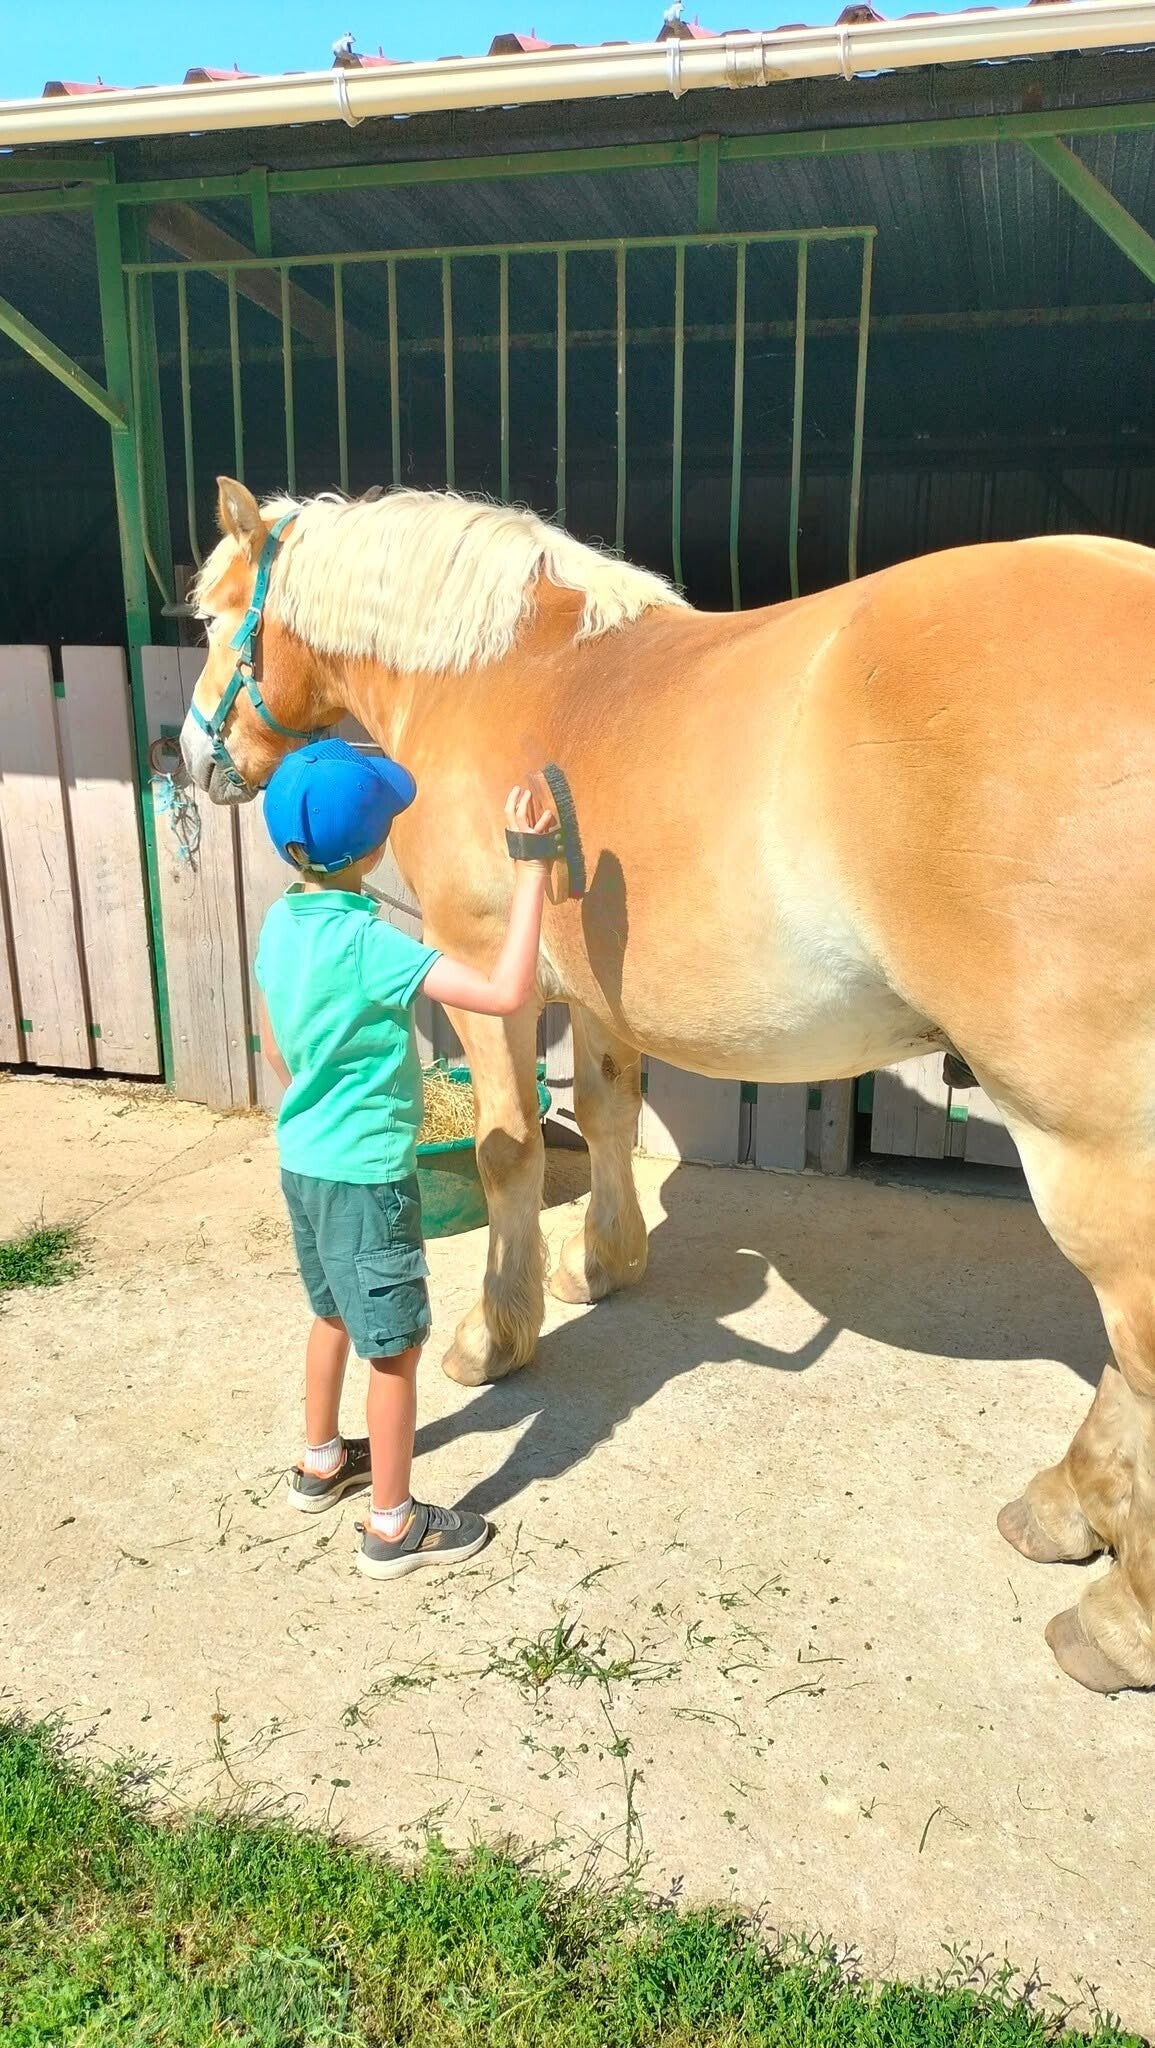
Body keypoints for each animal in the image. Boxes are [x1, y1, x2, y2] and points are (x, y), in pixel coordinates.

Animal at [183, 474, 1155, 1695]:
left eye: (215, 616)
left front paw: (495, 1337)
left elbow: (510, 1150)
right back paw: (1066, 1509)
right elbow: (605, 1109)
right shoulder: (600, 990)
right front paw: (602, 1261)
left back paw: (1115, 1620)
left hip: (1085, 1138)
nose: (191, 756)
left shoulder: (486, 970)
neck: (504, 670)